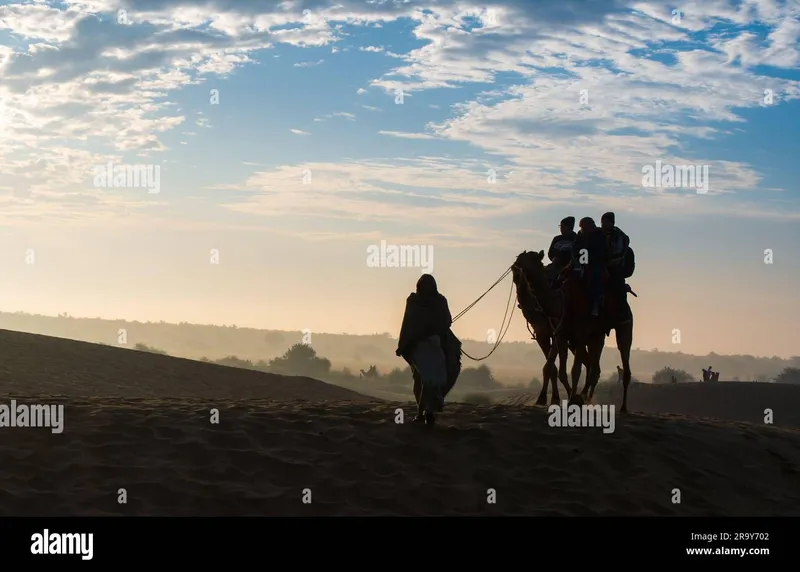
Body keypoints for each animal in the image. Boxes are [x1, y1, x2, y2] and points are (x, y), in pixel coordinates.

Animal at [516, 248, 636, 414]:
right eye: (522, 256)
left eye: (533, 258)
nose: (518, 262)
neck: (562, 303)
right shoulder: (560, 335)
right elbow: (559, 370)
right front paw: (563, 398)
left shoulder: (578, 335)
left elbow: (574, 370)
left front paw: (569, 399)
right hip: (596, 335)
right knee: (594, 367)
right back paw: (585, 397)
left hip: (624, 327)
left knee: (623, 360)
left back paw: (622, 407)